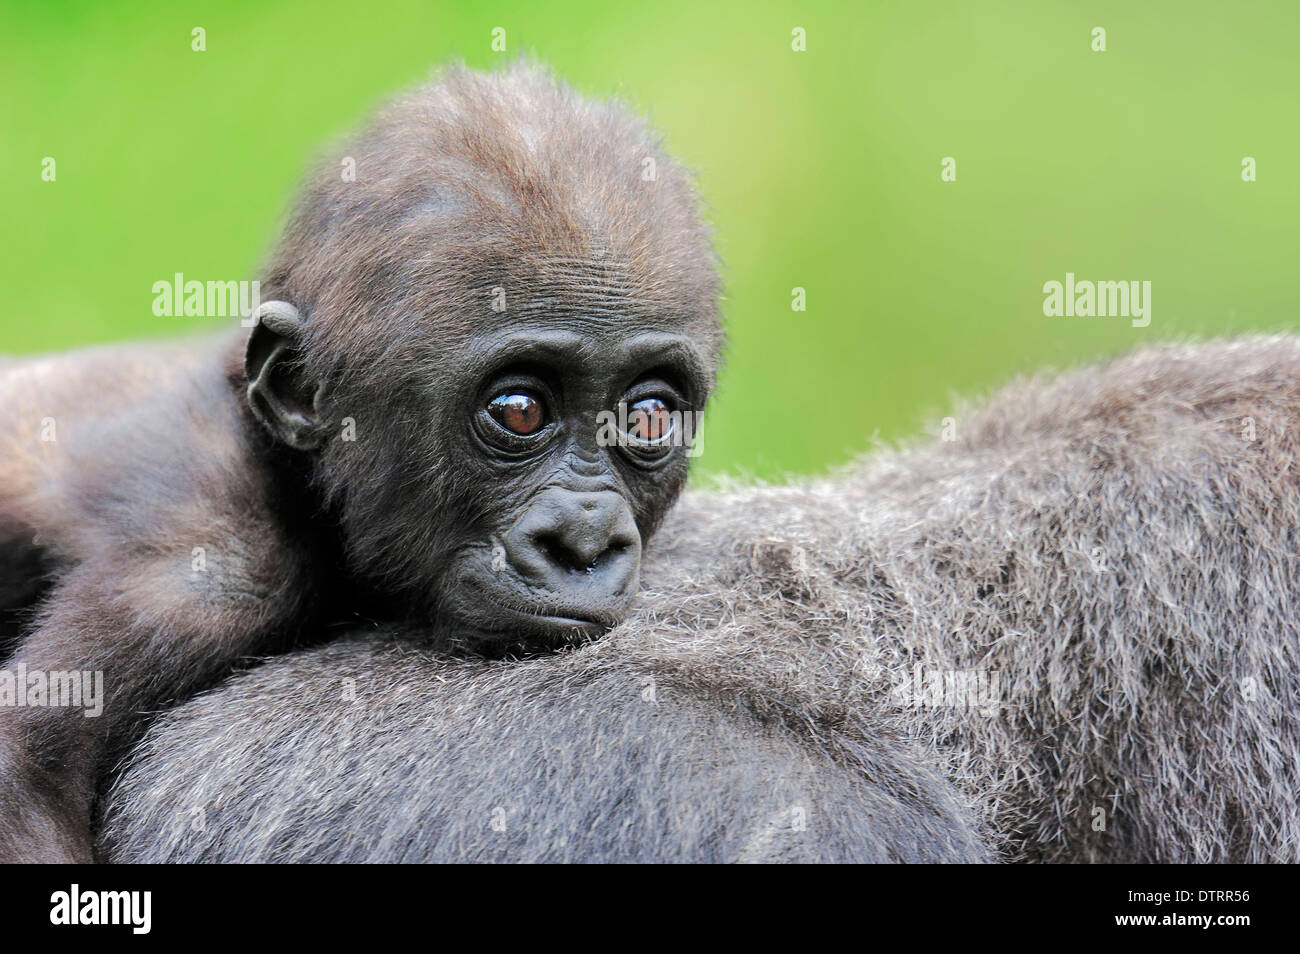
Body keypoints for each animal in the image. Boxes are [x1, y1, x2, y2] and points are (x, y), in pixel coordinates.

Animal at [0, 63, 722, 863]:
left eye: (648, 416)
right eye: (519, 411)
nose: (585, 543)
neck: (286, 466)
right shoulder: (208, 570)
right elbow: (22, 773)